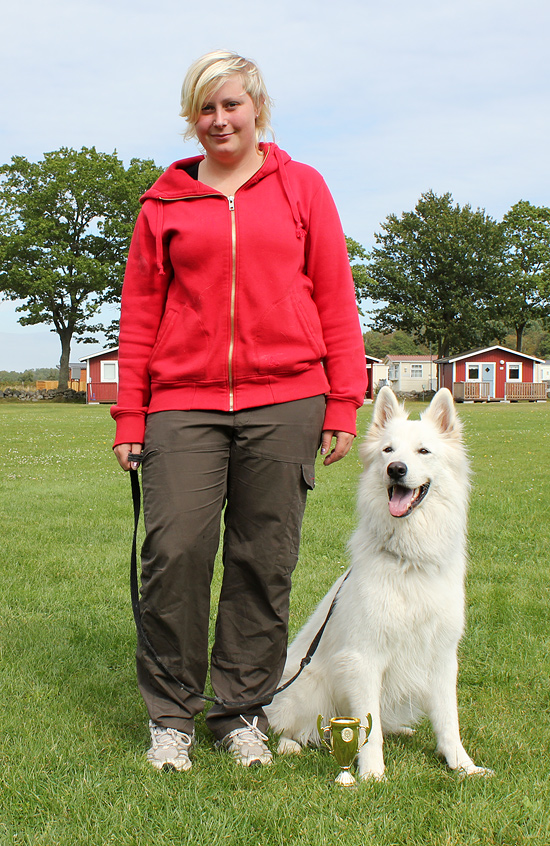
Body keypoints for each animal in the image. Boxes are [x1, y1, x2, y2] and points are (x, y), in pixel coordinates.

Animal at [266, 390, 492, 780]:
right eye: (388, 450)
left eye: (423, 451)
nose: (396, 469)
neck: (408, 560)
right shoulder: (364, 658)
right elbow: (367, 732)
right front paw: (371, 774)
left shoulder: (442, 656)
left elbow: (449, 720)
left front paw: (462, 765)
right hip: (308, 686)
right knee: (288, 726)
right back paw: (291, 745)